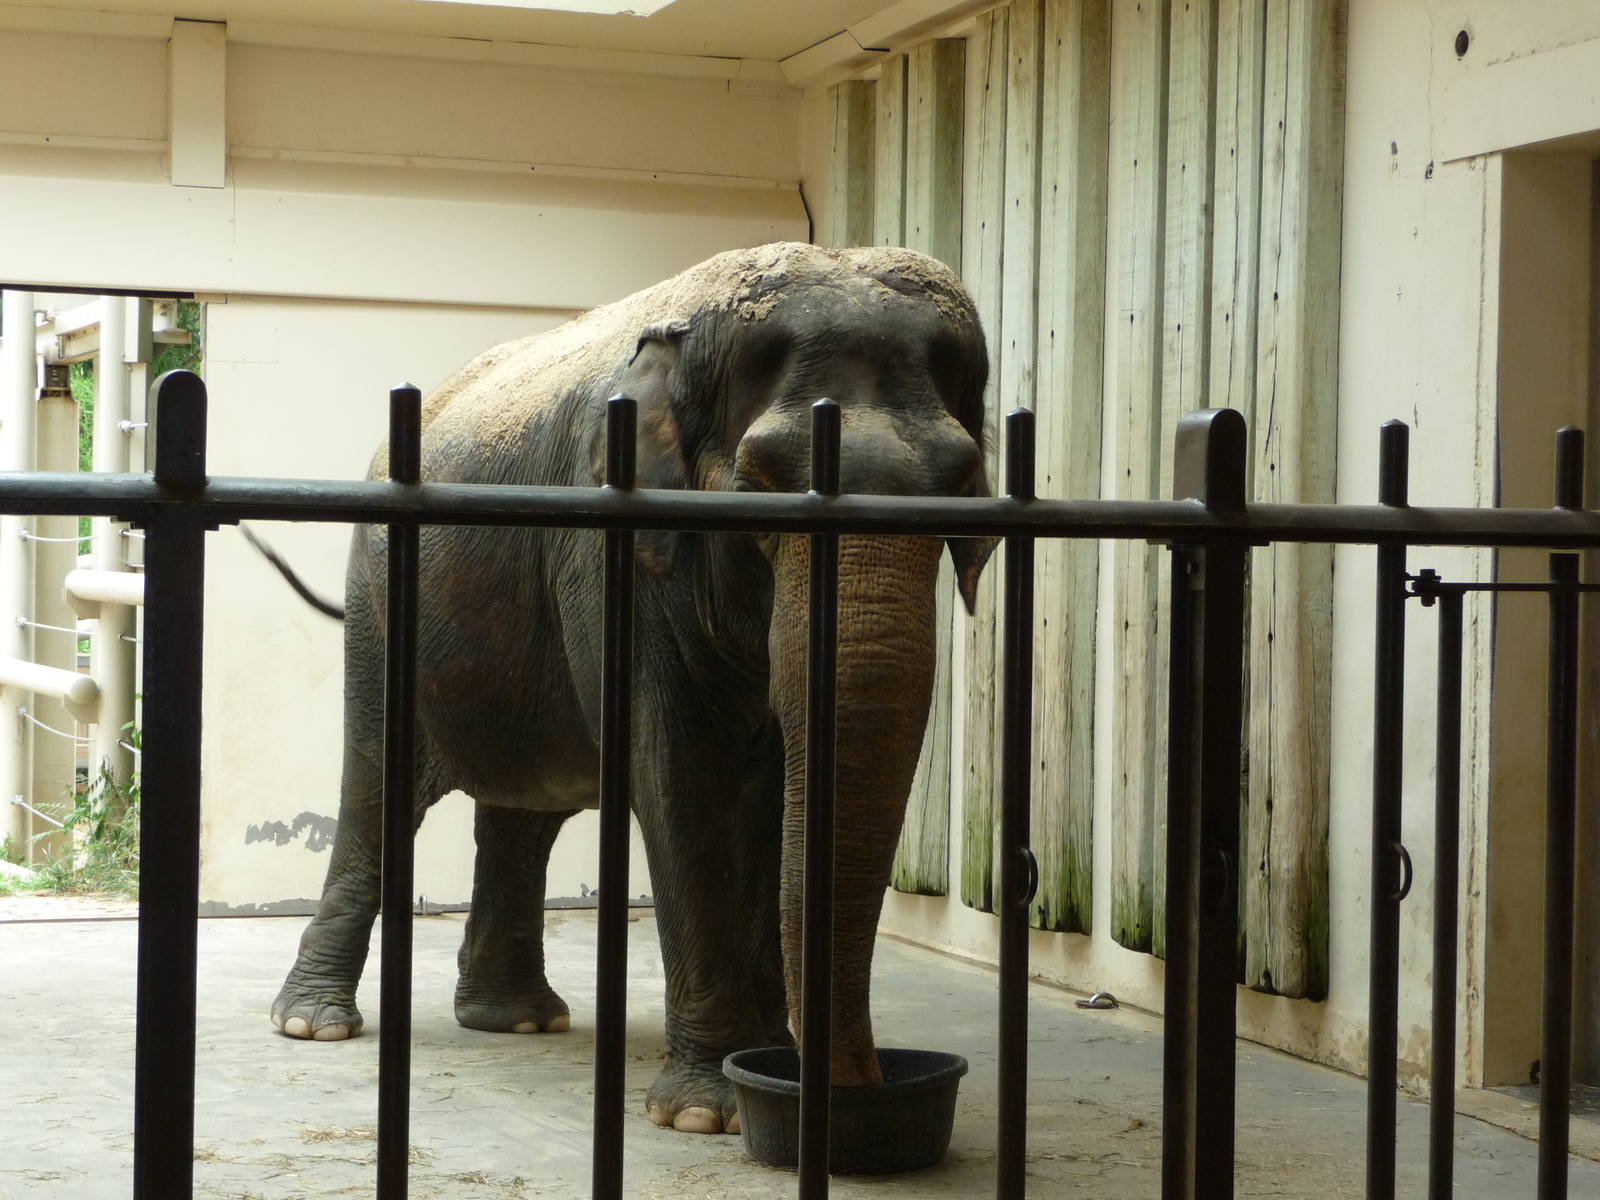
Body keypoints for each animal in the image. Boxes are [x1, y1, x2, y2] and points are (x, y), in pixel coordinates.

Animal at [267, 241, 994, 1134]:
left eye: (961, 483)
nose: (864, 1087)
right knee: (377, 788)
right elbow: (680, 777)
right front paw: (708, 1112)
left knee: (524, 810)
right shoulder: (619, 548)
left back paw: (517, 1021)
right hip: (376, 598)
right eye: (760, 484)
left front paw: (763, 1061)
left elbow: (773, 795)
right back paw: (316, 1024)